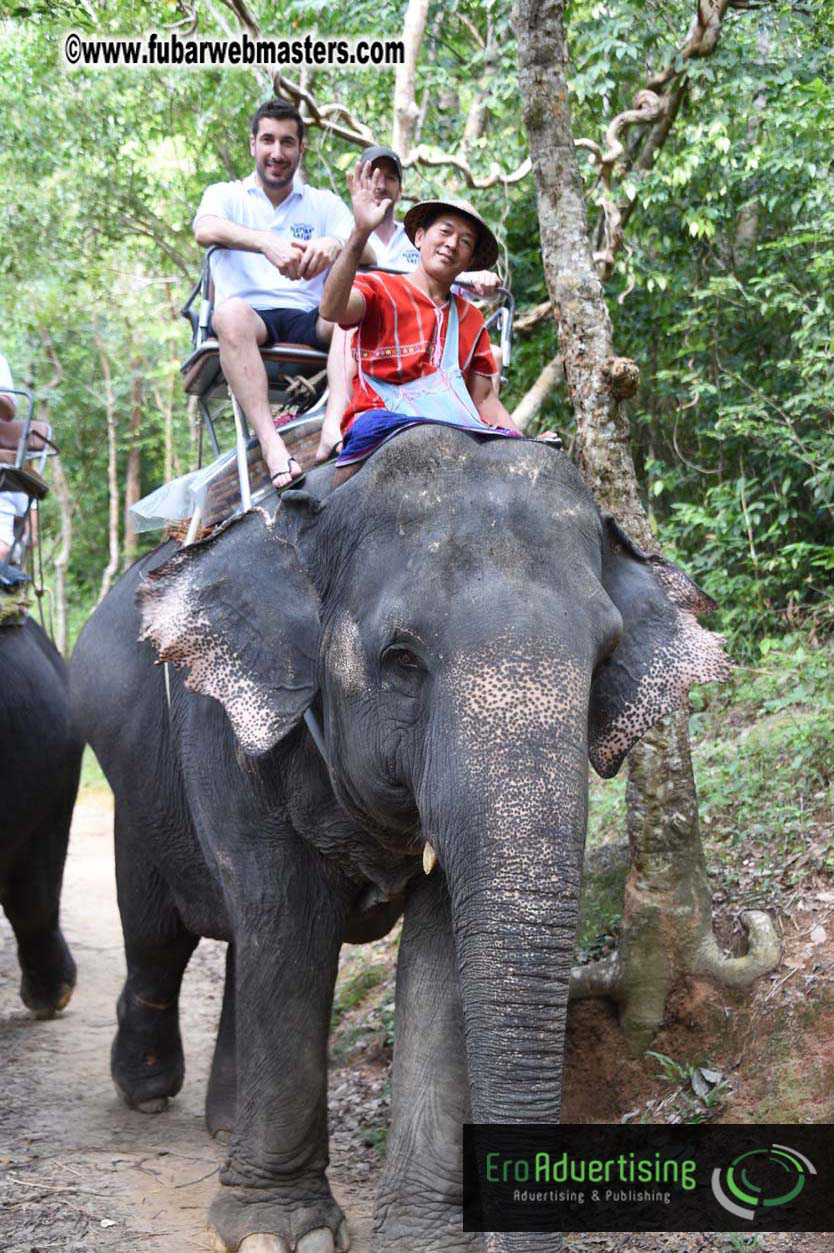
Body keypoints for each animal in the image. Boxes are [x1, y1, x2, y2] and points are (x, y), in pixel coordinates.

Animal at [70, 426, 729, 1253]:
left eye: (605, 657)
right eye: (401, 660)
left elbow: (440, 947)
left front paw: (424, 1239)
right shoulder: (229, 731)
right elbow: (289, 922)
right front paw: (279, 1233)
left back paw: (223, 1125)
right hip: (137, 777)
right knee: (165, 933)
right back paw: (149, 1093)